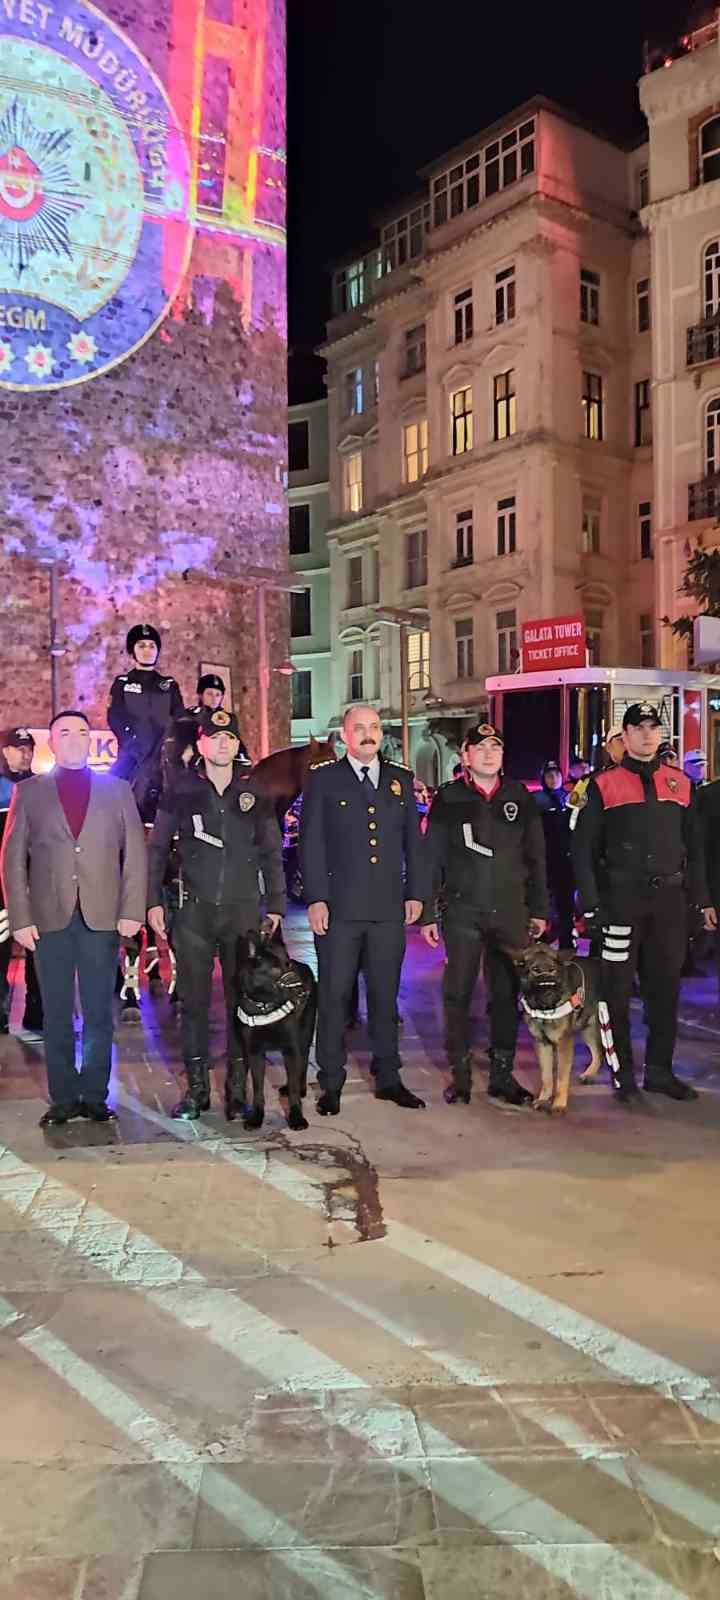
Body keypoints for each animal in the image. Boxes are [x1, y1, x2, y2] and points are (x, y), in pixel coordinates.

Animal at [228, 921, 316, 1132]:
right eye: (275, 969)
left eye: (288, 964)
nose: (303, 992)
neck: (265, 1005)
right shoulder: (255, 1053)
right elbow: (258, 1089)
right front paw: (256, 1117)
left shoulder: (291, 1049)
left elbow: (293, 1088)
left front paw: (296, 1117)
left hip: (305, 1035)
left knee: (302, 1062)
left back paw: (301, 1087)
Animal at [508, 940, 604, 1120]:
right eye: (535, 970)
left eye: (552, 970)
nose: (547, 991)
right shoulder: (542, 1044)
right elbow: (546, 1077)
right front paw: (544, 1099)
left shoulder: (564, 1045)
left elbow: (561, 1078)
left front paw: (558, 1105)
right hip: (587, 1028)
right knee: (598, 1052)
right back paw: (590, 1074)